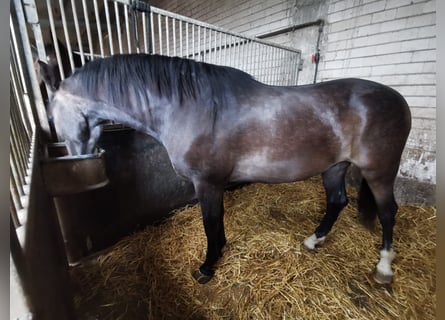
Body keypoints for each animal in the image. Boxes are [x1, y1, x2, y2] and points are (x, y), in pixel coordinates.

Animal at [46, 53, 412, 284]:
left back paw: (384, 267)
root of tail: (399, 100)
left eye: (50, 115)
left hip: (379, 171)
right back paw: (313, 241)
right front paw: (219, 253)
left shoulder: (207, 183)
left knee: (388, 211)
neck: (187, 107)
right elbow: (217, 223)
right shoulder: (214, 184)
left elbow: (210, 224)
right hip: (335, 166)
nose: (78, 159)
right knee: (337, 201)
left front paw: (207, 268)